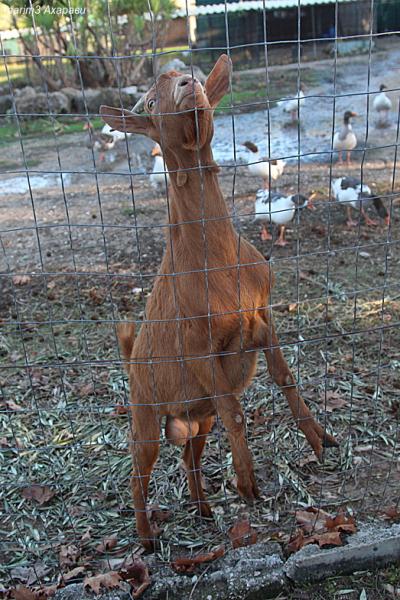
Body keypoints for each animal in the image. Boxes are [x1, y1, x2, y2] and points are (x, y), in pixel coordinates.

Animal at [101, 55, 338, 548]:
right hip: (144, 414)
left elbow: (285, 378)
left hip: (196, 415)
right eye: (148, 103)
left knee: (189, 454)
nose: (188, 86)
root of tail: (131, 359)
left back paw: (203, 510)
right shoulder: (198, 350)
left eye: (190, 74)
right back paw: (147, 539)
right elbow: (237, 411)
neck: (219, 265)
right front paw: (248, 483)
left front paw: (320, 439)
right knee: (138, 472)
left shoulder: (261, 316)